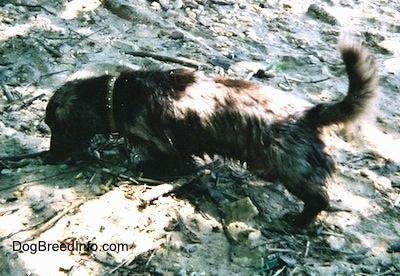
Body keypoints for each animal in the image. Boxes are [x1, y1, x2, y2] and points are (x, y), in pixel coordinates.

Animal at [44, 36, 378, 226]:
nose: (49, 157)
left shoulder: (166, 145)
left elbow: (164, 160)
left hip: (294, 171)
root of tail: (311, 114)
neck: (116, 96)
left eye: (54, 126)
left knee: (319, 200)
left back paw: (298, 220)